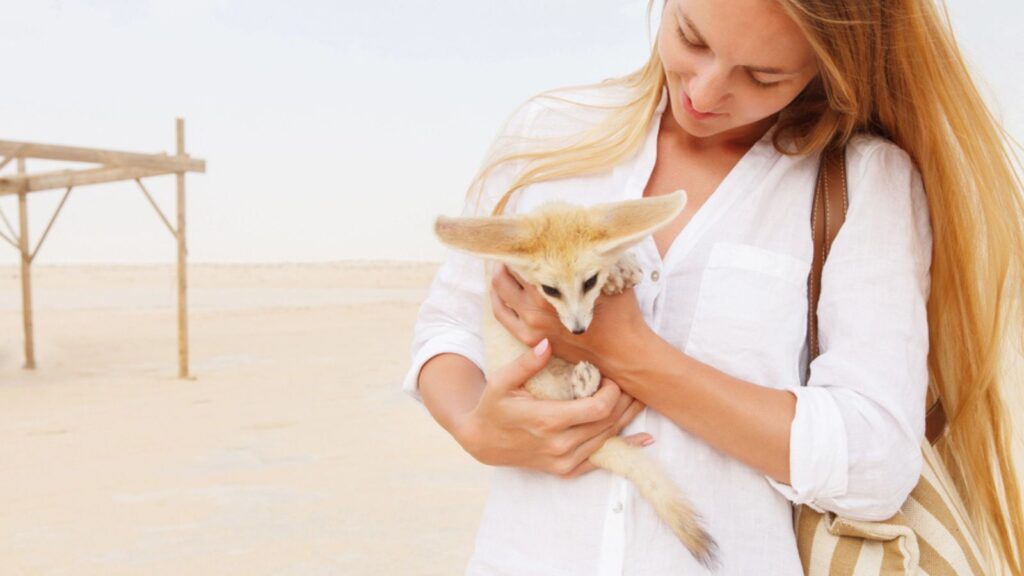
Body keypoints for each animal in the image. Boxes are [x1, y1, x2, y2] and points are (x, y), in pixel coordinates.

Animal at [433, 189, 718, 568]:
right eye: (550, 290)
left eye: (589, 282)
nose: (579, 330)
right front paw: (618, 271)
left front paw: (620, 267)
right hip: (537, 381)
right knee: (566, 395)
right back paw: (583, 382)